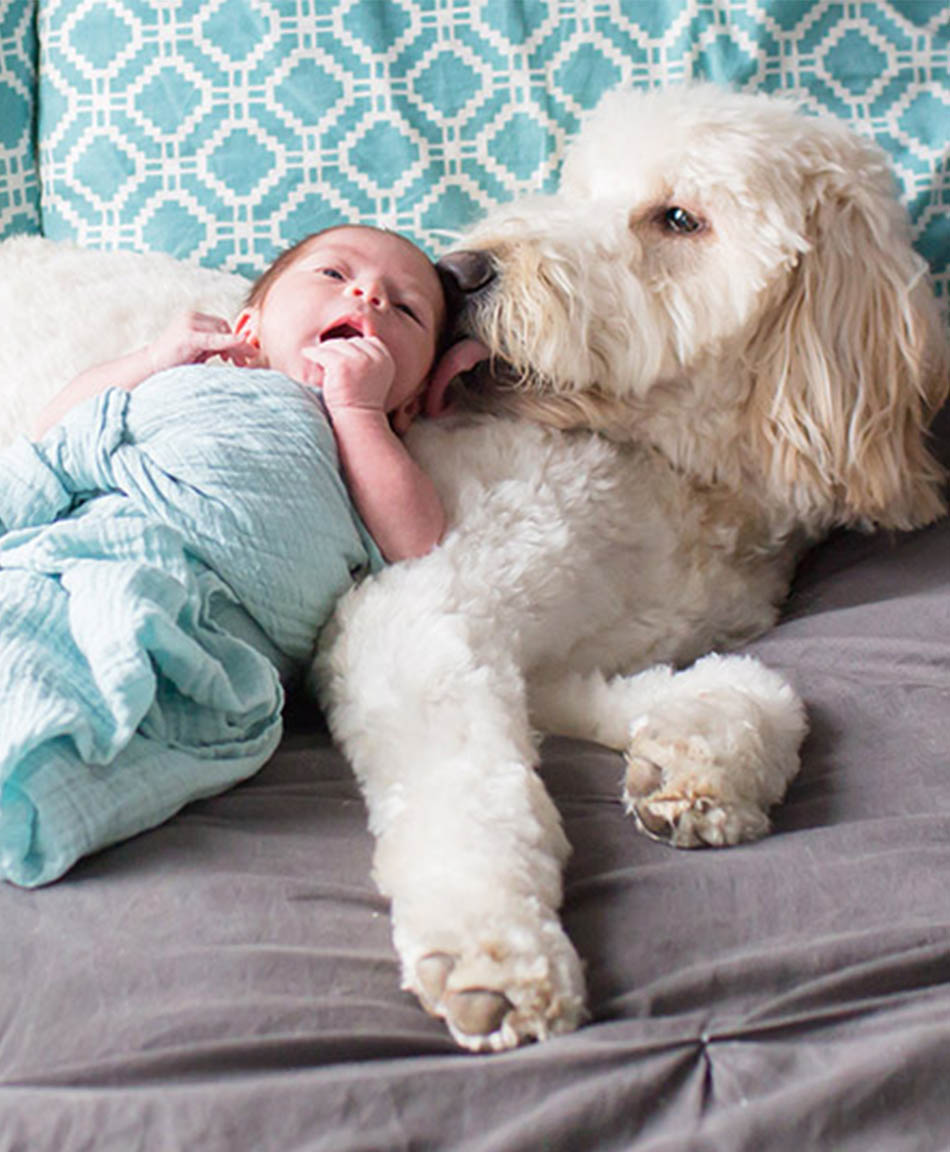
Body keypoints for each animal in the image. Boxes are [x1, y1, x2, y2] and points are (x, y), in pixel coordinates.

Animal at [0, 83, 944, 1055]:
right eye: (576, 183)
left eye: (679, 219)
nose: (459, 270)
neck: (677, 484)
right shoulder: (420, 612)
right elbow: (475, 788)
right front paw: (494, 949)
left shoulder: (578, 647)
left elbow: (750, 692)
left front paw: (698, 762)